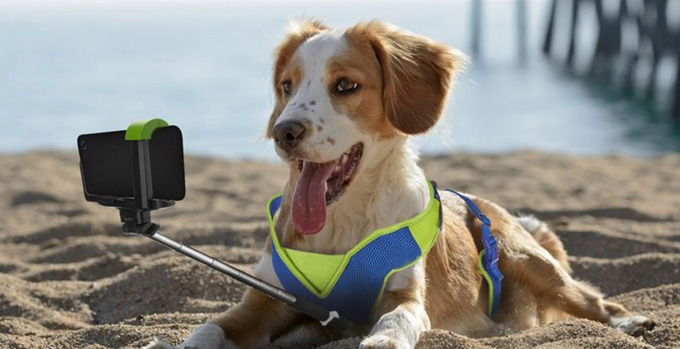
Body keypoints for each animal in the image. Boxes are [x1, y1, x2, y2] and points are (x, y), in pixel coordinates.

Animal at [146, 19, 656, 348]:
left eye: (345, 86)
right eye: (287, 86)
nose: (284, 132)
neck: (342, 224)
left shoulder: (406, 296)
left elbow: (395, 321)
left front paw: (381, 340)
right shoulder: (265, 301)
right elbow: (208, 328)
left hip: (523, 258)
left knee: (591, 299)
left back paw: (631, 323)